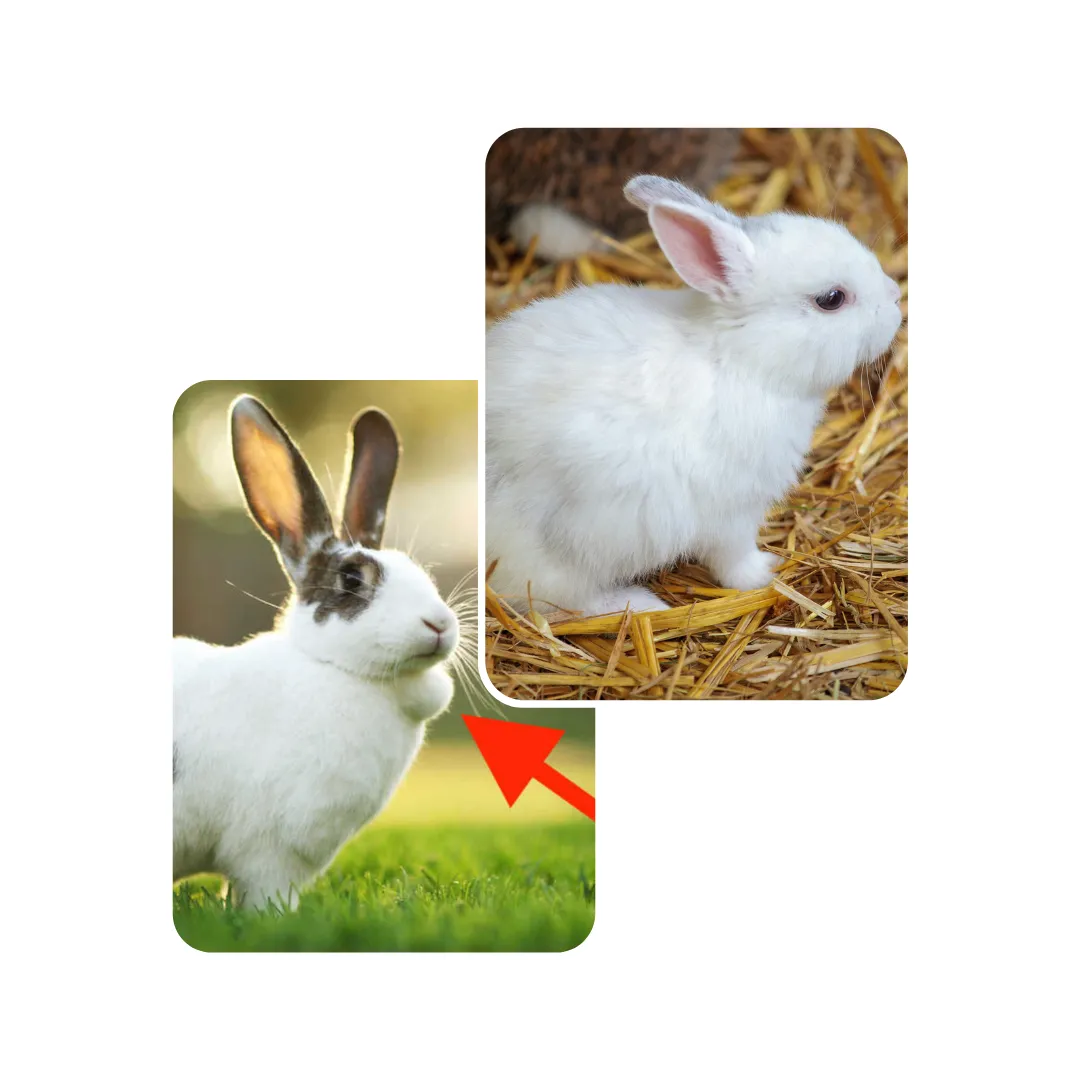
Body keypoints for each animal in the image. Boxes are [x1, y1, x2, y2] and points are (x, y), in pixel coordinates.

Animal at [173, 396, 459, 910]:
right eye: (352, 579)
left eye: (420, 571)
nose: (440, 625)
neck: (335, 670)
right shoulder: (270, 854)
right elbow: (265, 897)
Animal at [486, 174, 903, 618]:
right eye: (831, 299)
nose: (896, 296)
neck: (739, 358)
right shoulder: (734, 513)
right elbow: (733, 559)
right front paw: (765, 572)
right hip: (565, 551)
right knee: (558, 600)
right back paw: (640, 603)